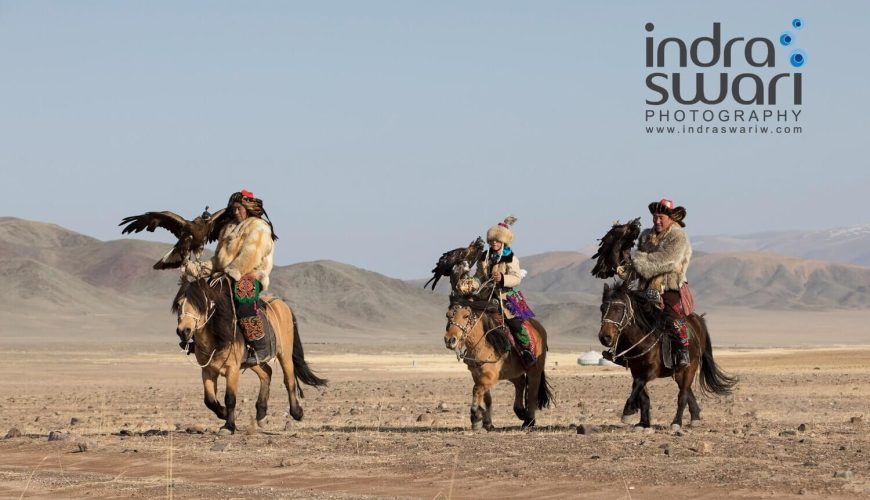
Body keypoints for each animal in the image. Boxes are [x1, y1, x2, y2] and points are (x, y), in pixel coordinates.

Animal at [172, 278, 328, 434]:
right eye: (179, 304)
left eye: (199, 305)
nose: (184, 331)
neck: (217, 338)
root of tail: (282, 304)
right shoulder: (207, 371)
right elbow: (209, 400)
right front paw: (223, 413)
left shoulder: (232, 370)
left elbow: (230, 398)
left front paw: (228, 426)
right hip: (255, 361)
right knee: (267, 373)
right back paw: (261, 415)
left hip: (285, 354)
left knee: (289, 381)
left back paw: (297, 413)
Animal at [446, 294, 556, 432]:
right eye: (448, 315)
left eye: (465, 316)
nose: (450, 340)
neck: (483, 344)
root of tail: (540, 328)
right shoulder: (477, 375)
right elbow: (486, 396)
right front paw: (487, 422)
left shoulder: (490, 375)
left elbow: (477, 389)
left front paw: (476, 417)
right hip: (511, 372)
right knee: (520, 383)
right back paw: (520, 411)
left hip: (534, 370)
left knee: (532, 391)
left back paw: (528, 421)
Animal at [600, 282, 736, 430]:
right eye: (602, 308)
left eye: (619, 308)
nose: (605, 338)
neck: (643, 338)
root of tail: (698, 320)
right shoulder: (635, 370)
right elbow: (642, 393)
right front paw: (643, 423)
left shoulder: (652, 370)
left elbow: (638, 384)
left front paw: (628, 411)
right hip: (678, 371)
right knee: (687, 391)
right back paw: (695, 417)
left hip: (690, 367)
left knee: (683, 395)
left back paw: (677, 422)